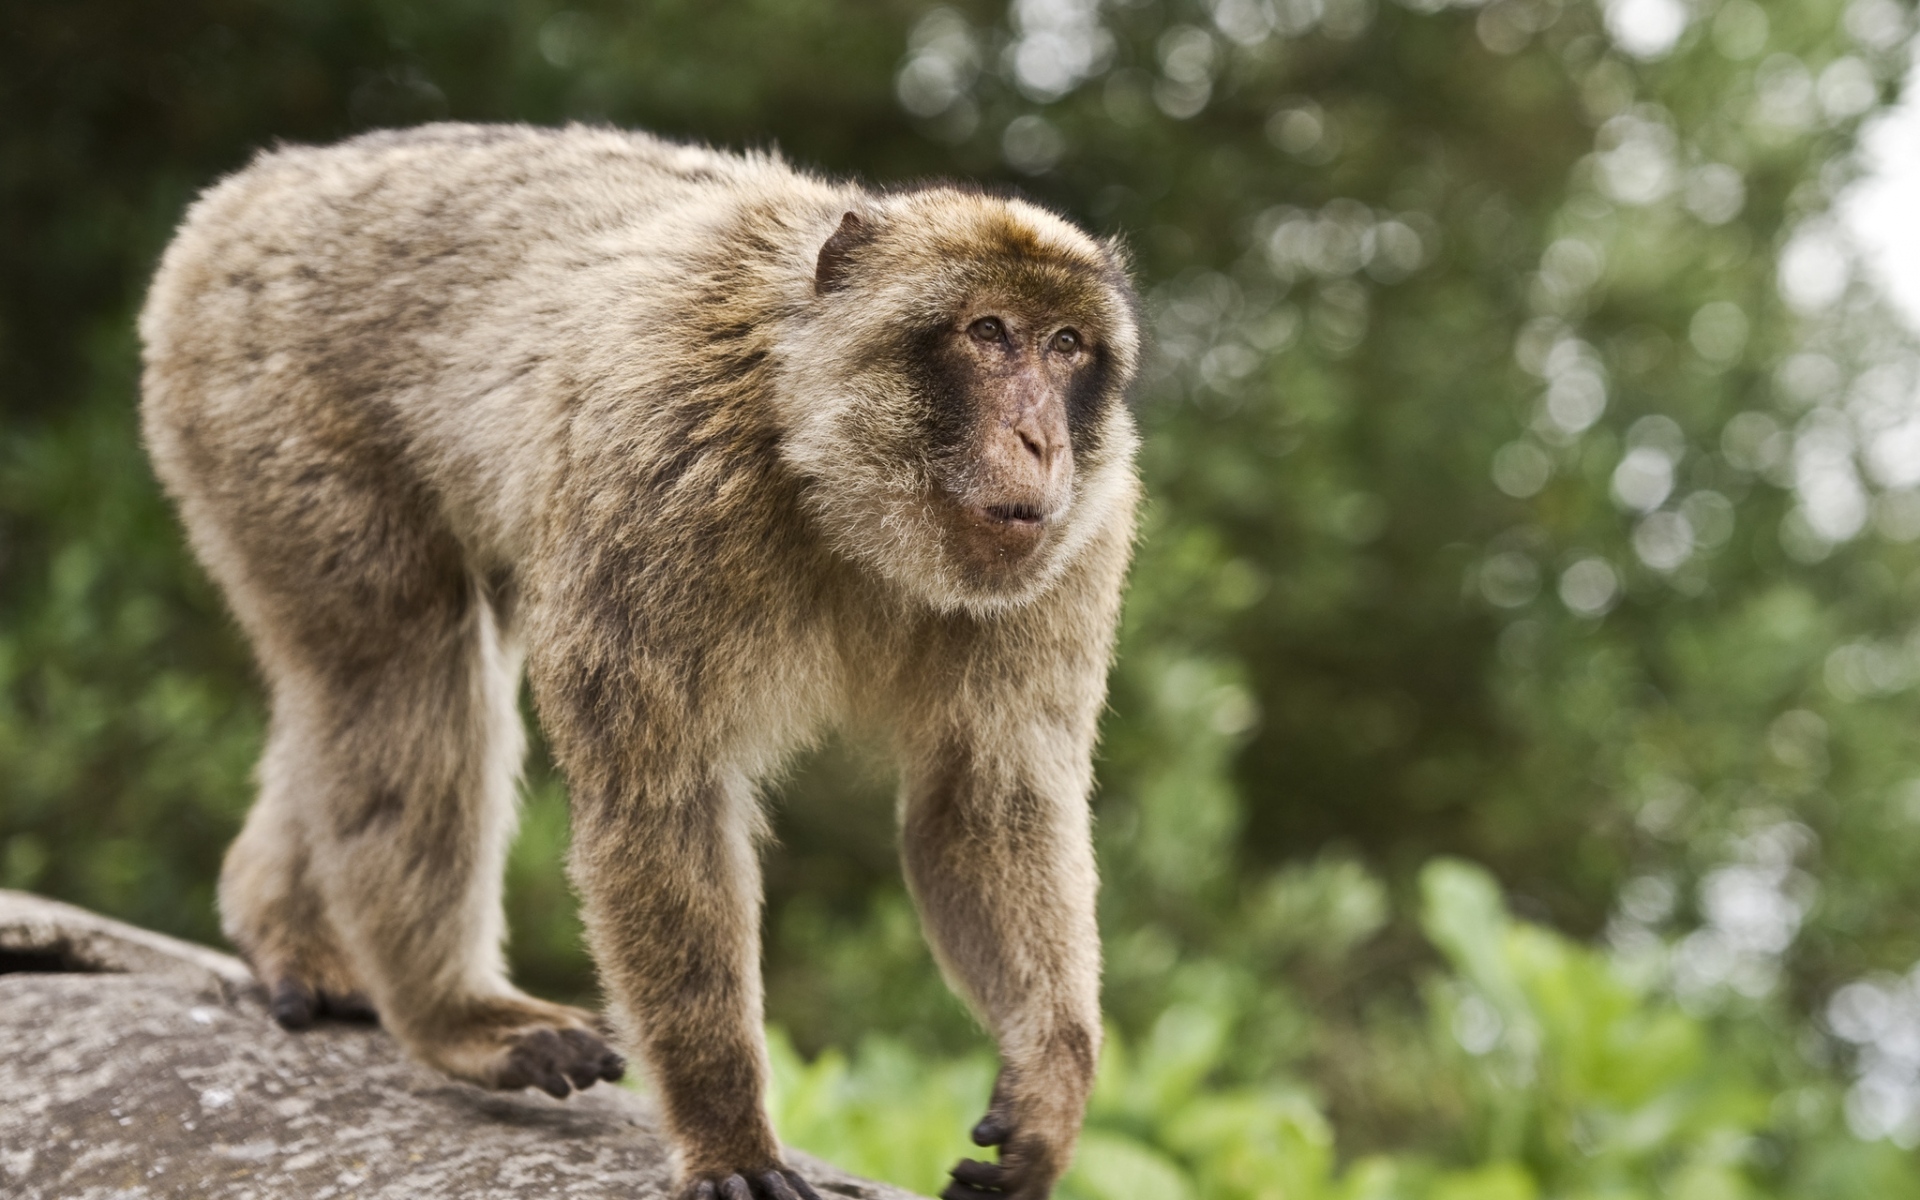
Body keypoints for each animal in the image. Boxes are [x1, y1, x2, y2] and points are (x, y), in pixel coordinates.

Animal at [138, 122, 1140, 1200]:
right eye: (989, 332)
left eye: (1067, 345)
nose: (1041, 440)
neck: (813, 442)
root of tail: (265, 180)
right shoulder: (660, 465)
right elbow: (659, 801)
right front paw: (727, 1132)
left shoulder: (1081, 540)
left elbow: (985, 801)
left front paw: (1049, 1084)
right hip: (257, 394)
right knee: (397, 655)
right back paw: (449, 1015)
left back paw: (286, 930)